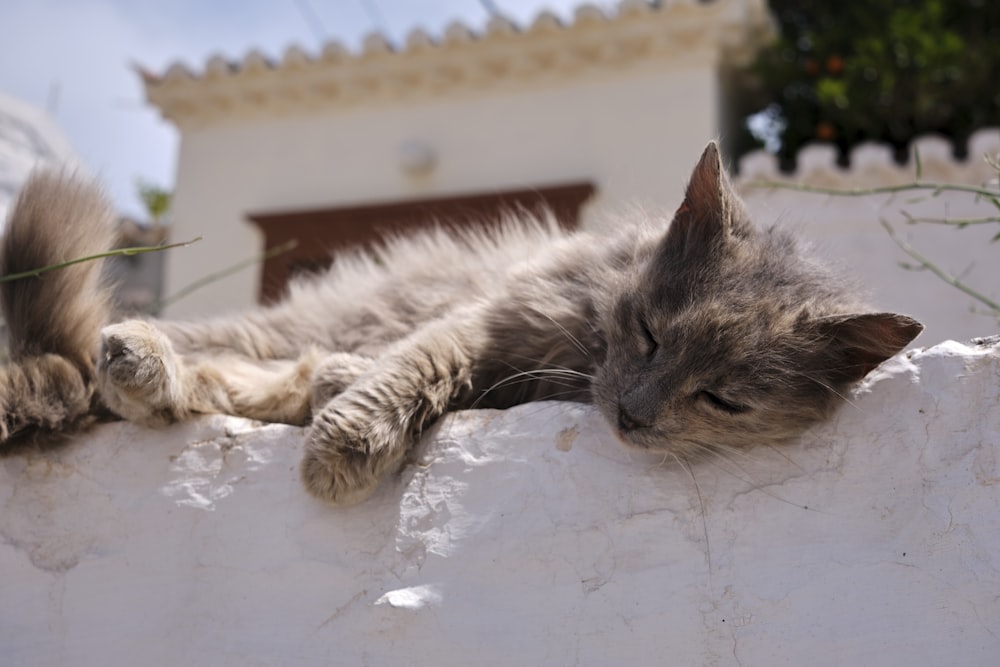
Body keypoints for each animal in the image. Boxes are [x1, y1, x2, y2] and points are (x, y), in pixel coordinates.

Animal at [0, 144, 920, 504]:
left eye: (723, 399)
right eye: (652, 332)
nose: (632, 415)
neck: (586, 356)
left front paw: (342, 421)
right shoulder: (487, 319)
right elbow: (415, 367)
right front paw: (348, 442)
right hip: (321, 312)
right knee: (128, 364)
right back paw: (135, 355)